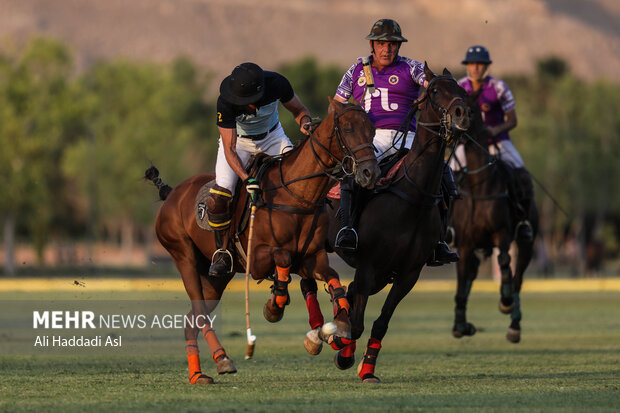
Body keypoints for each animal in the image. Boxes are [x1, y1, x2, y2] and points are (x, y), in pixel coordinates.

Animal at [147, 98, 378, 384]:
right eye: (347, 129)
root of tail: (171, 194)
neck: (297, 195)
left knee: (192, 320)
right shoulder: (256, 259)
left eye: (372, 130)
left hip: (215, 279)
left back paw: (202, 371)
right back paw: (220, 360)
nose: (370, 172)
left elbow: (333, 278)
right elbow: (282, 258)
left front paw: (337, 327)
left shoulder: (311, 258)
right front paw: (274, 307)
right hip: (183, 255)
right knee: (199, 314)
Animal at [320, 64, 470, 384]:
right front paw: (341, 349)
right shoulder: (368, 265)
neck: (413, 196)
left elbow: (379, 323)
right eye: (434, 90)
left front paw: (366, 369)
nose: (462, 114)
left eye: (462, 91)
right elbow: (357, 323)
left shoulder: (407, 274)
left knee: (350, 293)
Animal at [450, 95, 536, 342]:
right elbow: (461, 284)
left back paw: (514, 324)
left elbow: (506, 262)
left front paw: (505, 302)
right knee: (472, 273)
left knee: (518, 279)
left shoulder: (502, 234)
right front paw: (460, 325)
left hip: (526, 242)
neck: (481, 184)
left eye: (469, 109)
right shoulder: (465, 243)